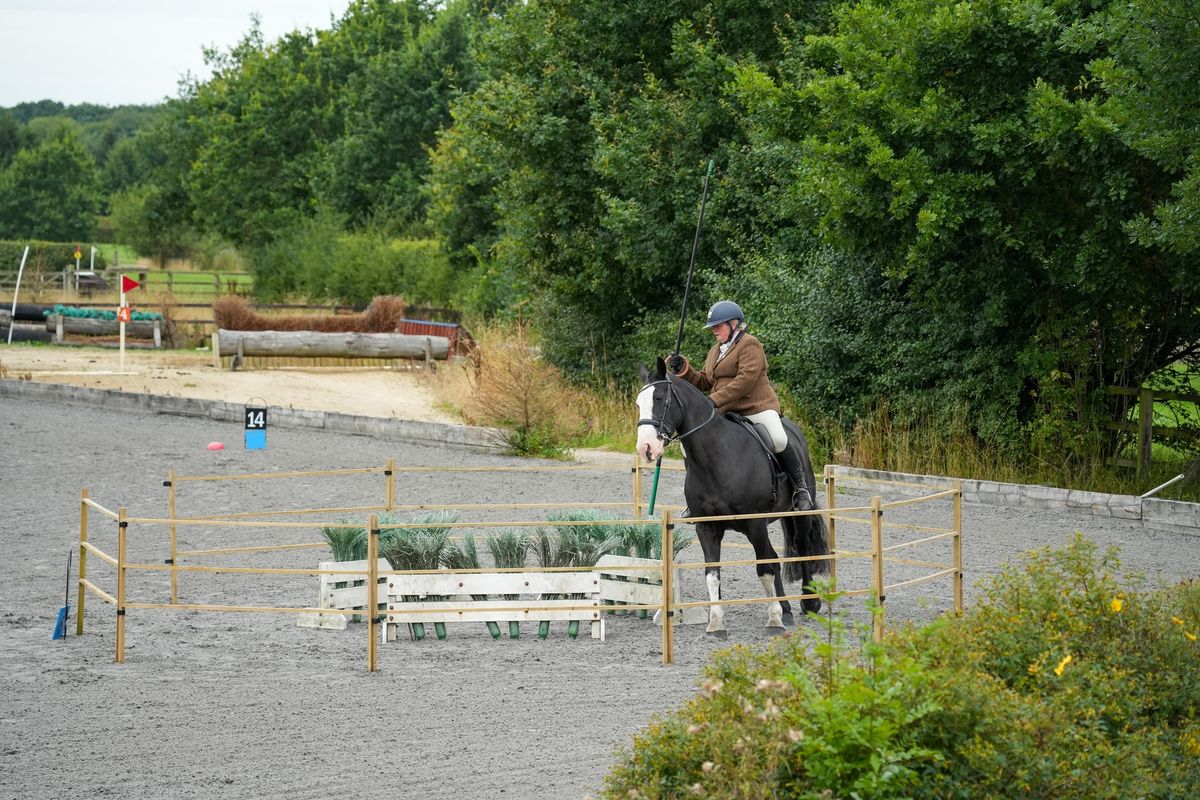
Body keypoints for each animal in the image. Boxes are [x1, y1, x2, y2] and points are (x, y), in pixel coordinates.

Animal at [638, 357, 825, 638]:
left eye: (659, 398)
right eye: (638, 404)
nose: (646, 448)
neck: (715, 459)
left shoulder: (755, 524)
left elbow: (764, 570)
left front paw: (773, 621)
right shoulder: (707, 527)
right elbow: (712, 573)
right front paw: (716, 624)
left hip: (798, 514)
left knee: (801, 551)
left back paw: (809, 603)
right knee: (774, 557)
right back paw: (786, 609)